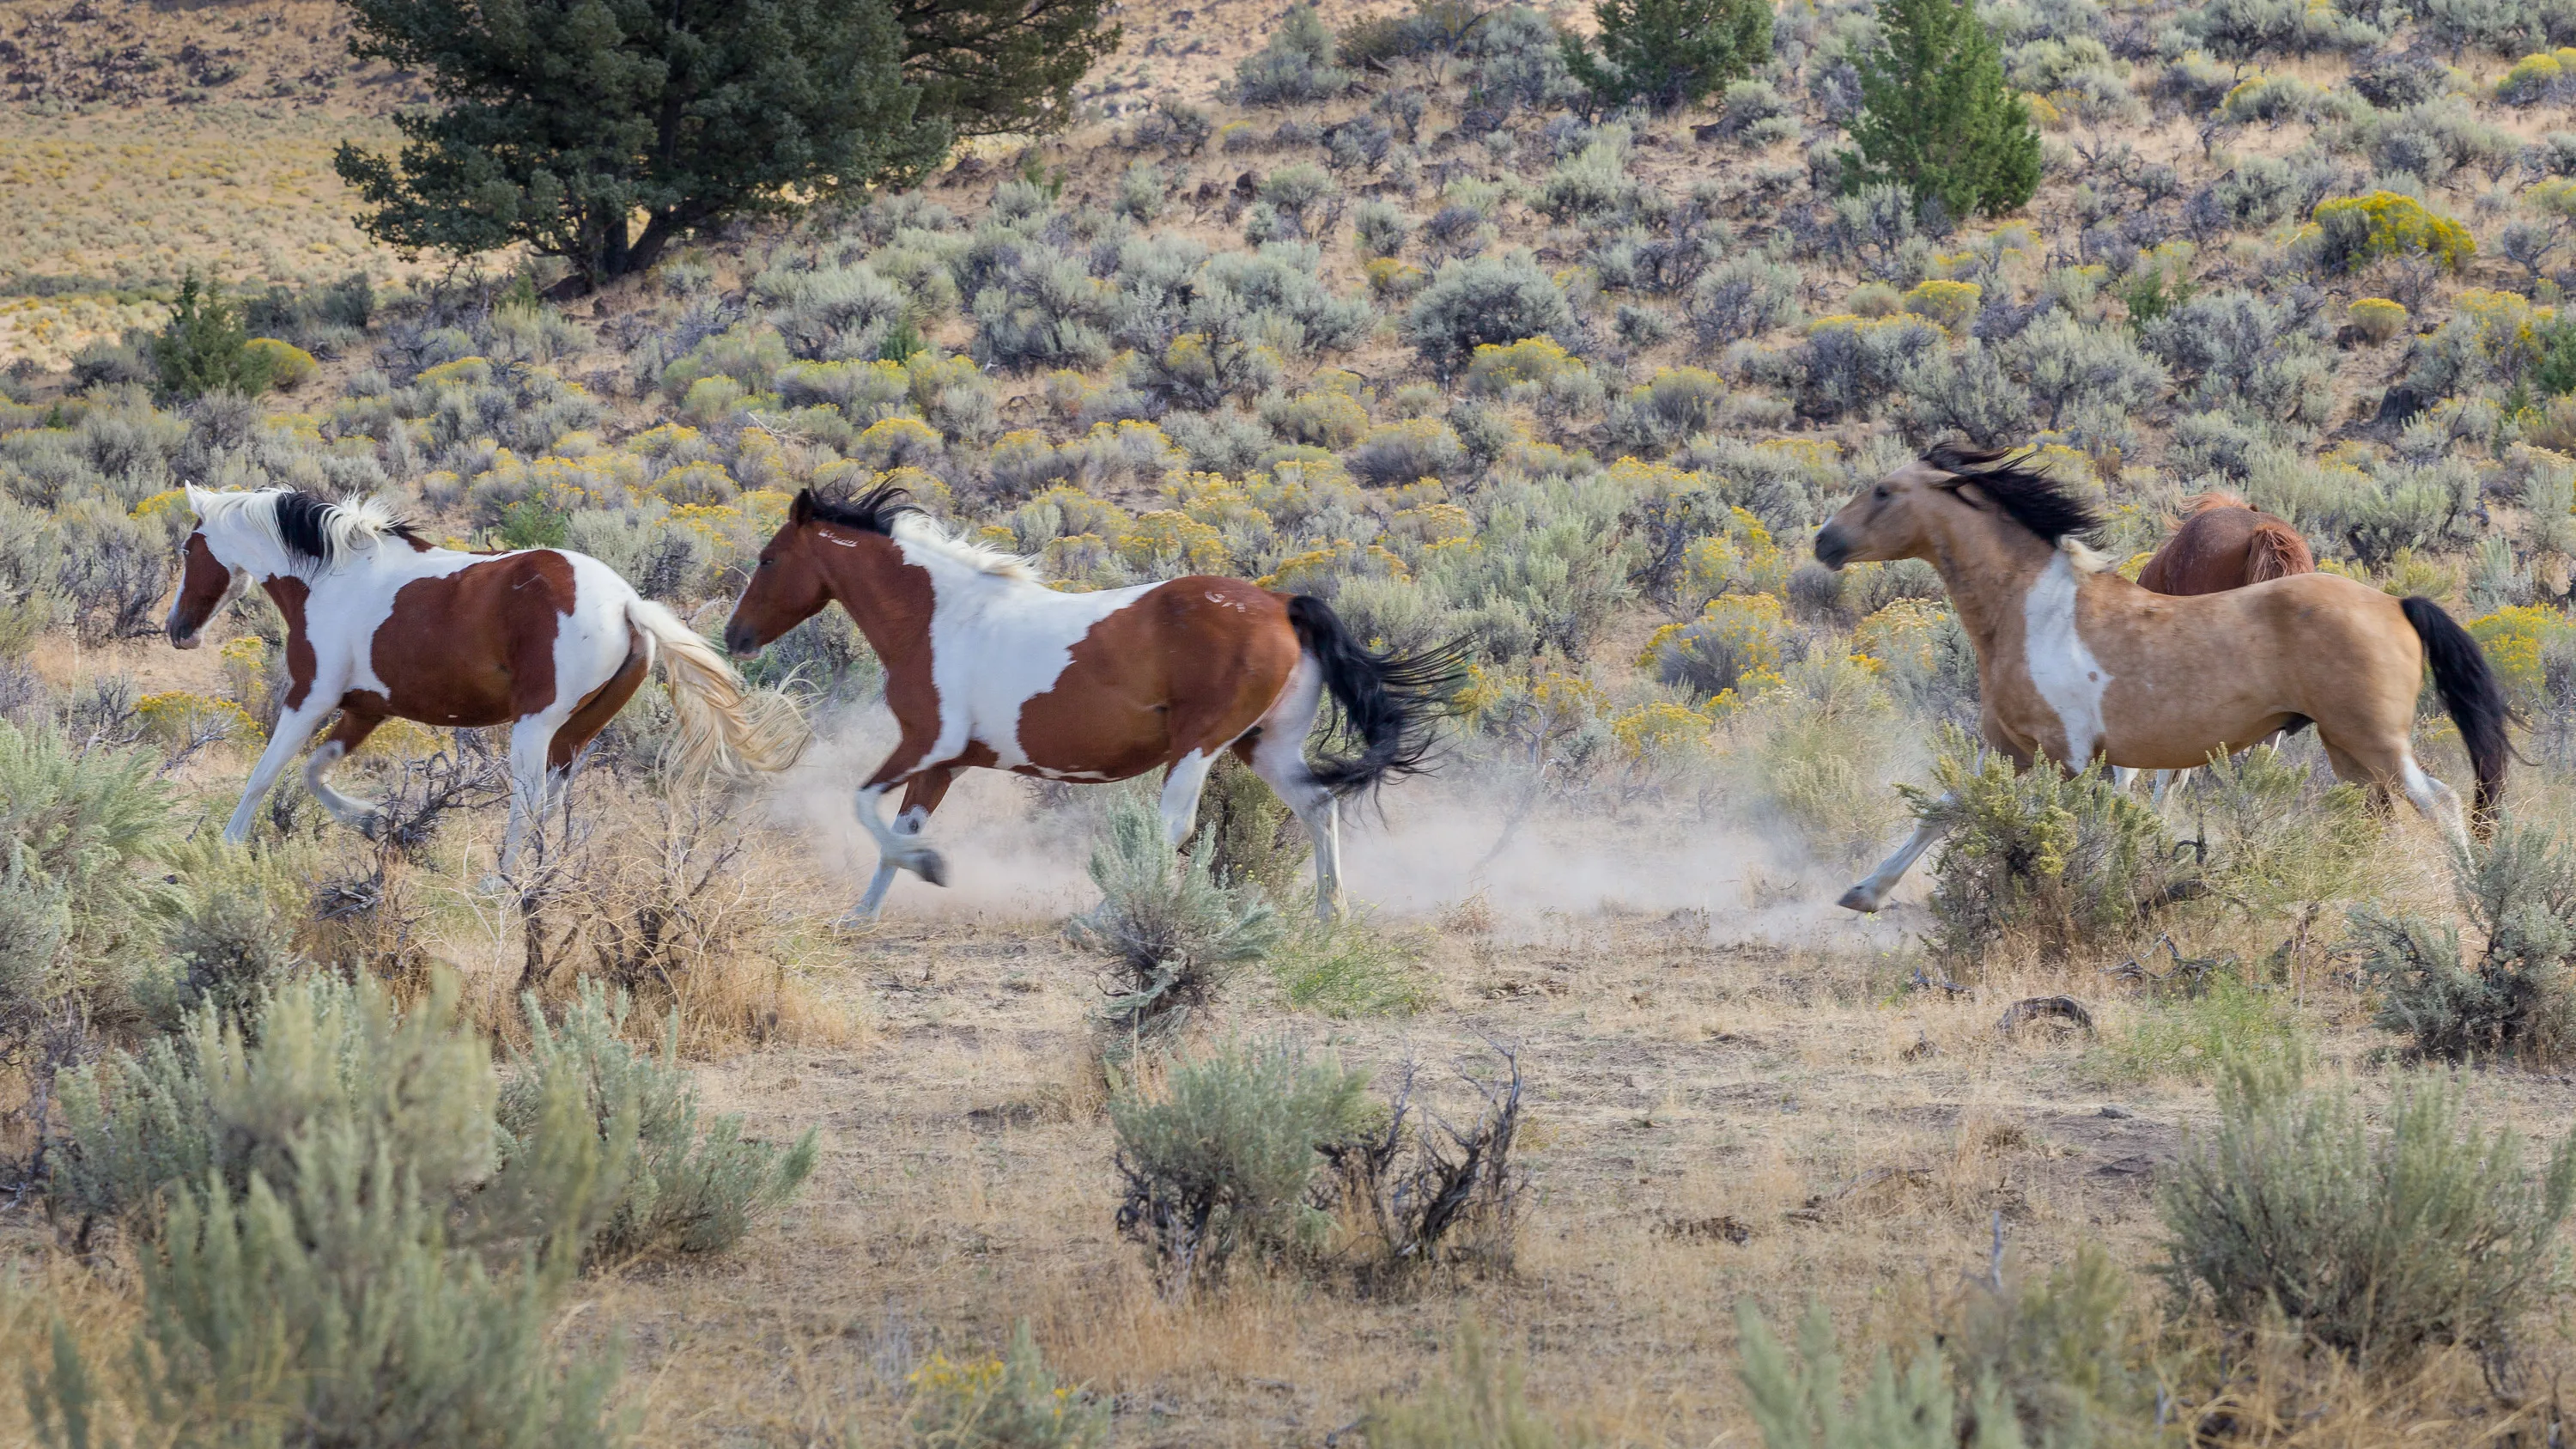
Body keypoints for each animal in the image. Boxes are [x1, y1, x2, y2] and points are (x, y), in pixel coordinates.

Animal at [165, 486, 806, 870]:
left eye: (187, 549)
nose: (178, 630)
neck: (332, 576)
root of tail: (627, 603)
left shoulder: (310, 696)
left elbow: (265, 774)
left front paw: (226, 847)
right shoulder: (367, 707)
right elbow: (314, 773)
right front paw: (377, 821)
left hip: (533, 727)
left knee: (527, 802)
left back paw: (500, 882)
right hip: (575, 736)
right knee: (552, 803)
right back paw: (543, 875)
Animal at [720, 483, 1465, 923]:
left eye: (766, 558)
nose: (735, 636)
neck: (939, 617)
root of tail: (1283, 603)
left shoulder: (924, 743)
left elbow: (860, 804)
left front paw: (931, 868)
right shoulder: (944, 763)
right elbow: (896, 831)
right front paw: (863, 912)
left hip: (1200, 743)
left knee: (1174, 826)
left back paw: (1106, 914)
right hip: (1266, 746)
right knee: (1319, 805)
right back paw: (1331, 915)